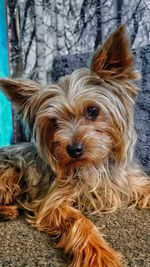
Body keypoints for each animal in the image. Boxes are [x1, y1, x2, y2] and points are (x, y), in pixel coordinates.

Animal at [0, 25, 150, 267]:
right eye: (54, 122)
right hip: (10, 171)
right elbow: (79, 220)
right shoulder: (54, 202)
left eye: (93, 111)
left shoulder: (132, 183)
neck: (94, 165)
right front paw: (100, 255)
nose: (74, 150)